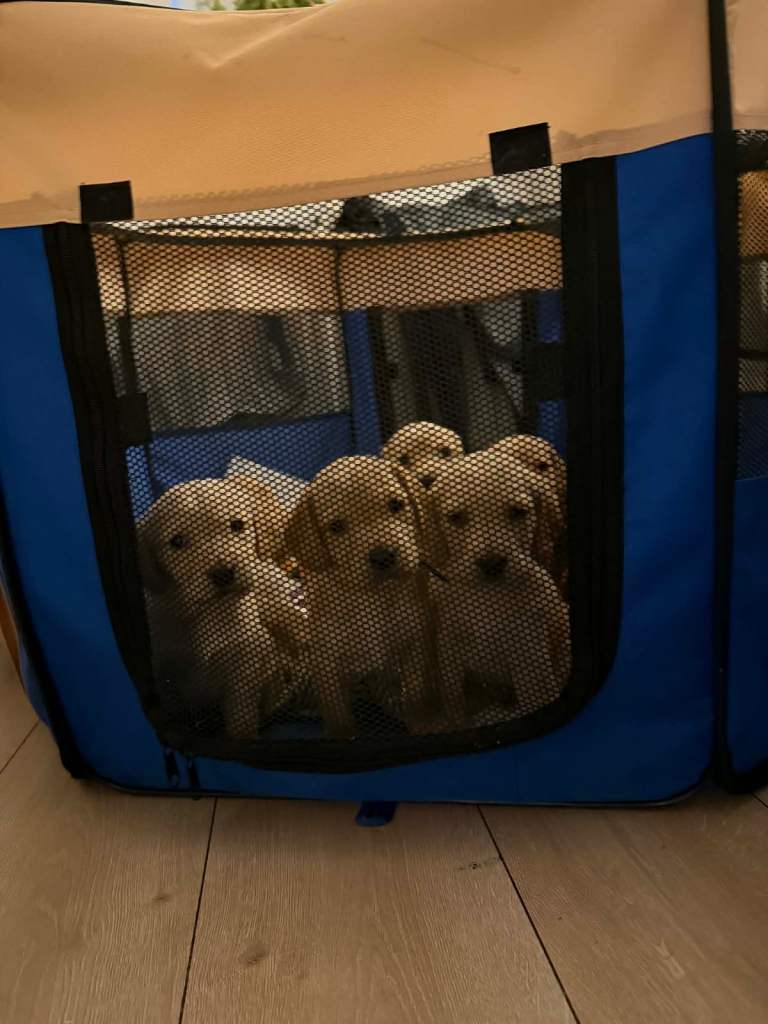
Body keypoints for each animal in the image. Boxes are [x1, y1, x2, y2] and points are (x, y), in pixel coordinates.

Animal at [137, 476, 307, 740]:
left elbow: (241, 722)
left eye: (237, 525)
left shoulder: (242, 673)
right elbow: (174, 714)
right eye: (177, 542)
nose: (223, 573)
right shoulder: (165, 675)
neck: (208, 610)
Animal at [283, 455, 438, 738]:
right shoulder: (327, 663)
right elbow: (337, 711)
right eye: (336, 526)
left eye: (396, 505)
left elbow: (416, 695)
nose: (384, 556)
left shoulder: (413, 646)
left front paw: (423, 722)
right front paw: (342, 734)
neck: (372, 598)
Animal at [423, 450, 571, 721]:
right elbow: (454, 702)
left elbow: (534, 701)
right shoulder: (449, 653)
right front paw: (458, 723)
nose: (491, 564)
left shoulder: (530, 659)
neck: (488, 595)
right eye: (456, 518)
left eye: (517, 512)